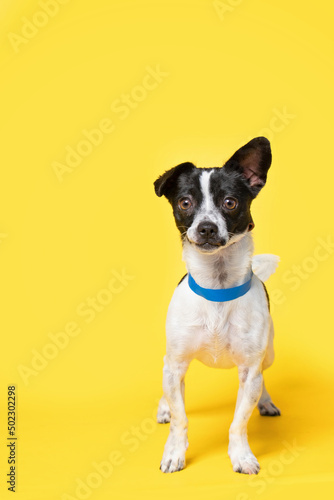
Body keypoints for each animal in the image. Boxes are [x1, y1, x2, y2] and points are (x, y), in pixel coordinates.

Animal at [153, 138, 280, 476]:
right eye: (185, 203)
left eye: (230, 202)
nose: (207, 227)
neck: (217, 289)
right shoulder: (176, 364)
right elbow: (181, 418)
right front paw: (174, 452)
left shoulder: (249, 370)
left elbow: (239, 422)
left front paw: (241, 455)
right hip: (171, 361)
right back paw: (163, 407)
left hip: (268, 354)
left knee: (263, 379)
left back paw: (265, 402)